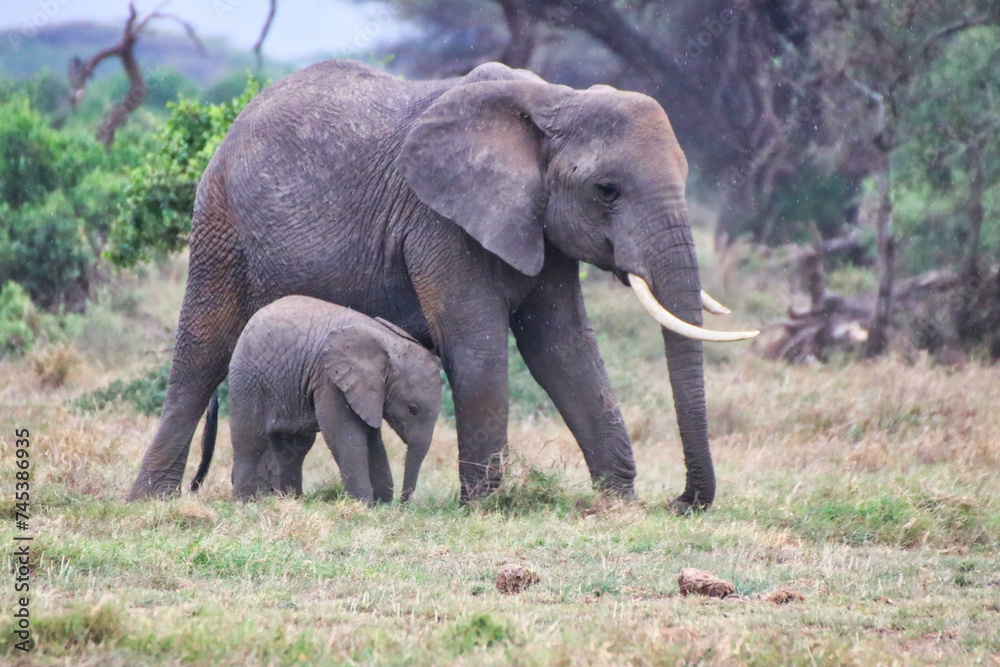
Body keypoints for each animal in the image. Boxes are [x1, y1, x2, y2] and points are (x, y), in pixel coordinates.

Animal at [190, 295, 442, 503]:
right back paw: (244, 503)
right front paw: (364, 505)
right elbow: (345, 436)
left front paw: (382, 503)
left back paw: (292, 501)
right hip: (248, 379)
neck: (387, 341)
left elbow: (372, 439)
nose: (402, 505)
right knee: (250, 439)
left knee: (294, 447)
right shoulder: (330, 380)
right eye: (412, 409)